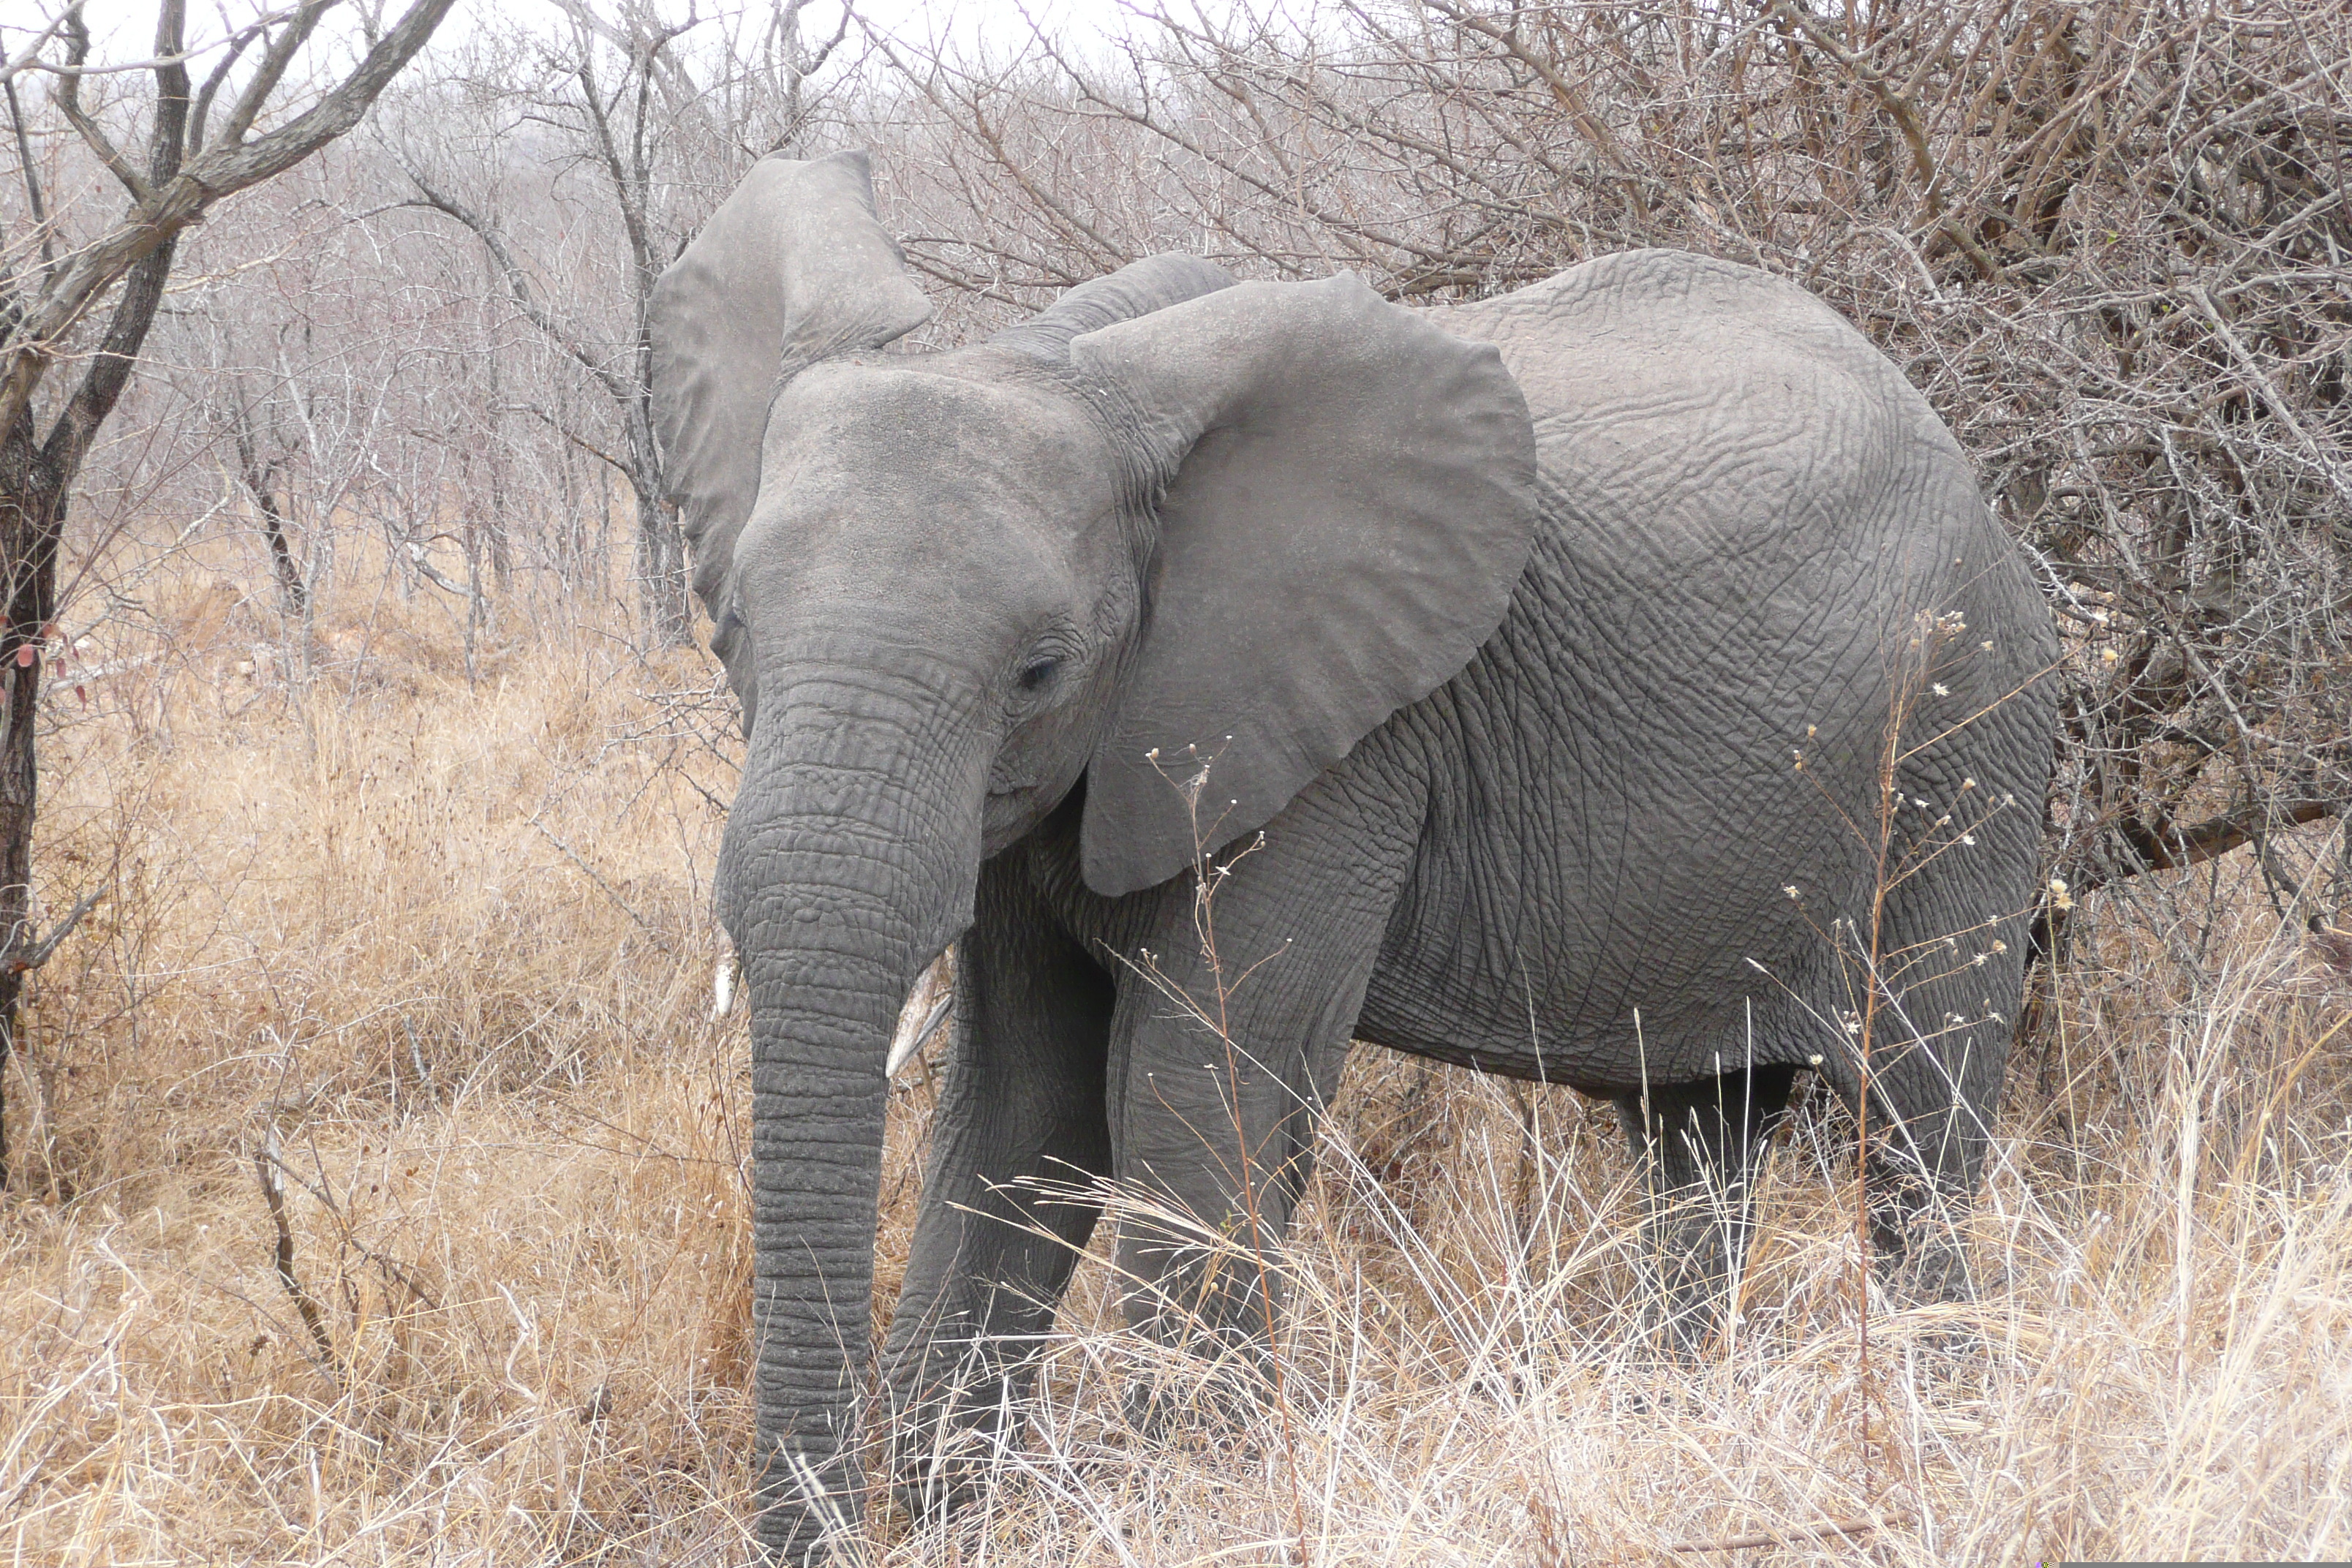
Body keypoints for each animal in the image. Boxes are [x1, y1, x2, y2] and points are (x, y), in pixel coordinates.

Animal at [649, 150, 2060, 1561]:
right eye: (733, 627)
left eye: (1040, 669)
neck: (1069, 359)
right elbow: (1022, 1110)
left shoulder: (1337, 743)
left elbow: (1198, 1100)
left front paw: (1197, 1512)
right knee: (1699, 1136)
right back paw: (1681, 1418)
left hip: (1965, 738)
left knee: (1915, 1122)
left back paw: (1941, 1425)